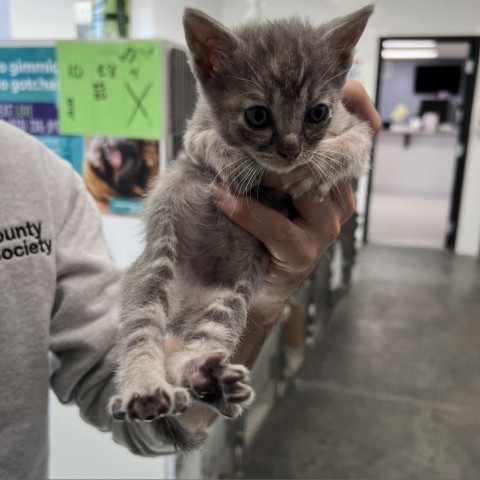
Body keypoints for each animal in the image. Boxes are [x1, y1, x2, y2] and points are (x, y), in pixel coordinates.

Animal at [111, 4, 376, 450]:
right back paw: (146, 387)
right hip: (153, 272)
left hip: (228, 303)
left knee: (191, 351)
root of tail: (183, 306)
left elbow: (358, 142)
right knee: (141, 336)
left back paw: (207, 378)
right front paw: (233, 162)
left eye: (318, 113)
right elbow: (205, 142)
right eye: (257, 116)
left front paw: (321, 168)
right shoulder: (194, 128)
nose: (291, 150)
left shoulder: (352, 122)